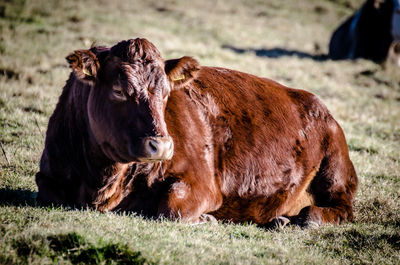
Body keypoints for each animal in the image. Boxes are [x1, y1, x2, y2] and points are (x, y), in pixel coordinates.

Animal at [36, 37, 358, 227]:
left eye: (166, 93)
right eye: (118, 90)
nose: (161, 146)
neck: (102, 184)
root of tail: (316, 102)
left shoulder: (203, 183)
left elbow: (173, 206)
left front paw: (207, 219)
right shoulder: (48, 174)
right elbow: (48, 193)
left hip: (335, 170)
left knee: (341, 207)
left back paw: (308, 218)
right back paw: (280, 220)